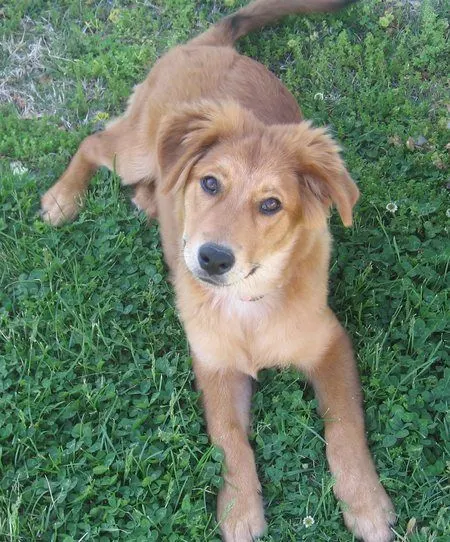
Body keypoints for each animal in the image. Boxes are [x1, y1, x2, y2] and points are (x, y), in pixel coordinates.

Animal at [40, 2, 396, 540]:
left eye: (271, 205)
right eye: (210, 183)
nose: (211, 258)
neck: (248, 303)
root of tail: (212, 46)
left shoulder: (330, 343)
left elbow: (344, 427)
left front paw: (366, 503)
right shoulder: (213, 364)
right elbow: (228, 437)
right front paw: (239, 511)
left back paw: (147, 202)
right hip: (135, 148)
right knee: (93, 141)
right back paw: (62, 199)